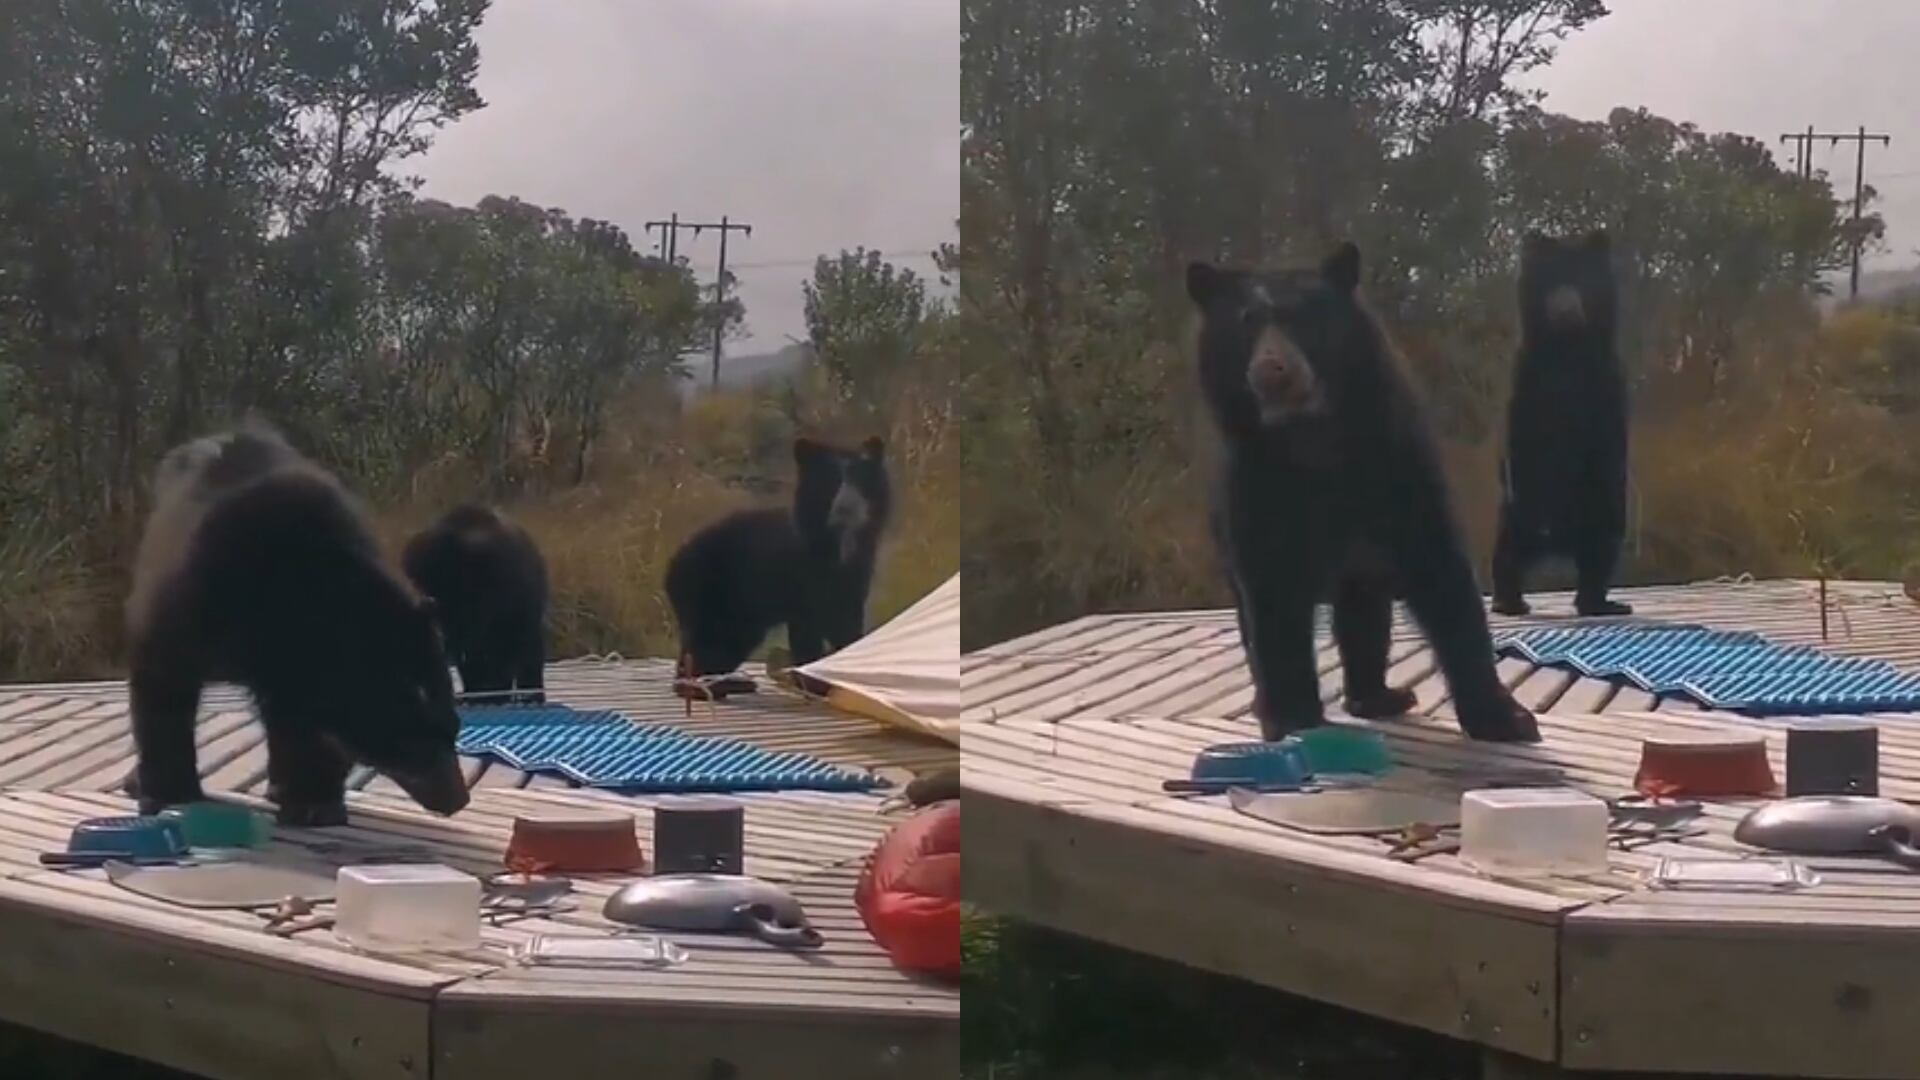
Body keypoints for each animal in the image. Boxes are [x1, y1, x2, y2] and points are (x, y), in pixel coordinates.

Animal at [124, 423, 470, 826]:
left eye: (453, 726)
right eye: (412, 739)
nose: (457, 798)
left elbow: (312, 731)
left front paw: (313, 802)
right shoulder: (191, 597)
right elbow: (164, 682)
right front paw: (168, 792)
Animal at [665, 435, 891, 681]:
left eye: (861, 480)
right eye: (829, 481)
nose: (847, 508)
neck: (838, 542)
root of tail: (673, 562)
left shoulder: (855, 576)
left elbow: (848, 628)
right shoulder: (802, 584)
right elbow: (808, 637)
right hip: (708, 599)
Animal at [1185, 242, 1540, 743]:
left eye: (1304, 317)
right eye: (1245, 322)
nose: (1273, 370)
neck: (1311, 439)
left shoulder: (1398, 466)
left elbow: (1445, 580)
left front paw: (1506, 718)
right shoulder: (1253, 486)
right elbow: (1272, 600)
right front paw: (1290, 713)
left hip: (1362, 564)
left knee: (1365, 615)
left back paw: (1378, 696)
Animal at [1491, 228, 1632, 618]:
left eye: (1583, 280)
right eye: (1552, 280)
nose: (1567, 308)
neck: (1567, 348)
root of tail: (1558, 543)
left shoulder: (1605, 385)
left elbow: (1607, 442)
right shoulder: (1528, 382)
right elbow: (1519, 437)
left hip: (1601, 510)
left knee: (1601, 549)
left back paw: (1602, 602)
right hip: (1517, 517)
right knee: (1507, 550)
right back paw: (1509, 602)